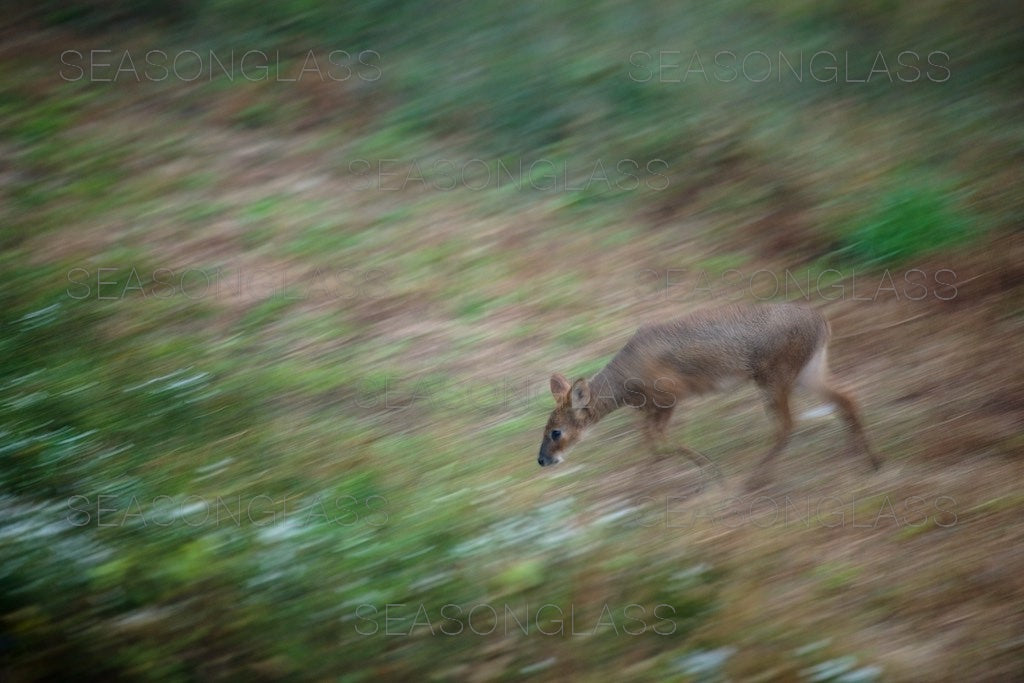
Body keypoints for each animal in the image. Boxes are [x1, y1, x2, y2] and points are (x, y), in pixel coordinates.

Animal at [536, 305, 880, 491]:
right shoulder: (650, 408)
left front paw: (712, 472)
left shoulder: (668, 396)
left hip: (776, 376)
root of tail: (823, 322)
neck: (625, 384)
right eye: (545, 428)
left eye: (556, 432)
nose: (542, 460)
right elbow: (650, 443)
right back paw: (870, 461)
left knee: (787, 424)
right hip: (808, 371)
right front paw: (645, 481)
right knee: (847, 398)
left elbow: (658, 440)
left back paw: (753, 480)